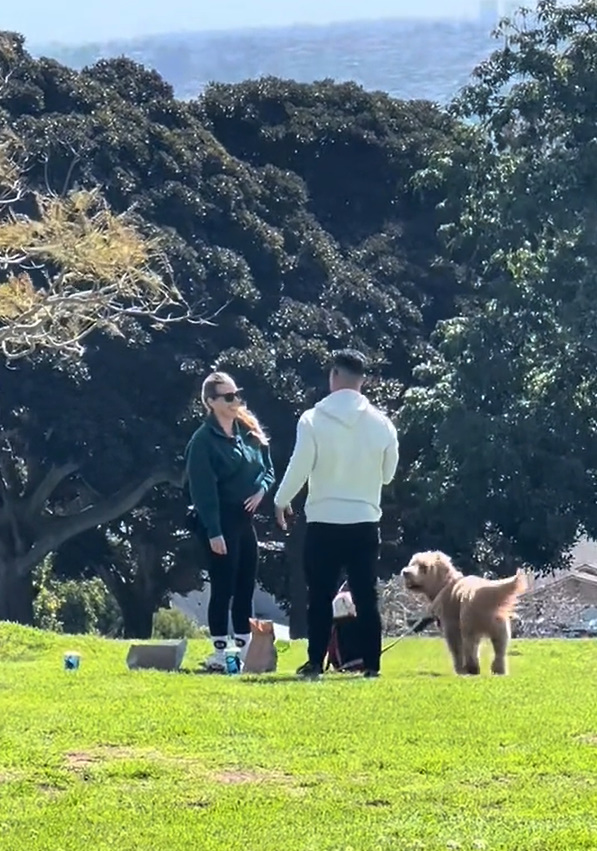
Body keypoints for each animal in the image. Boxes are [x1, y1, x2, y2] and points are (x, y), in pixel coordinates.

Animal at [402, 552, 524, 680]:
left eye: (423, 566)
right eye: (412, 563)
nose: (405, 572)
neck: (445, 584)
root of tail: (483, 594)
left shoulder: (451, 626)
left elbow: (456, 649)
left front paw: (459, 669)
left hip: (468, 626)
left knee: (470, 648)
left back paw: (471, 669)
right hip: (500, 630)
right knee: (499, 651)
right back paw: (498, 671)